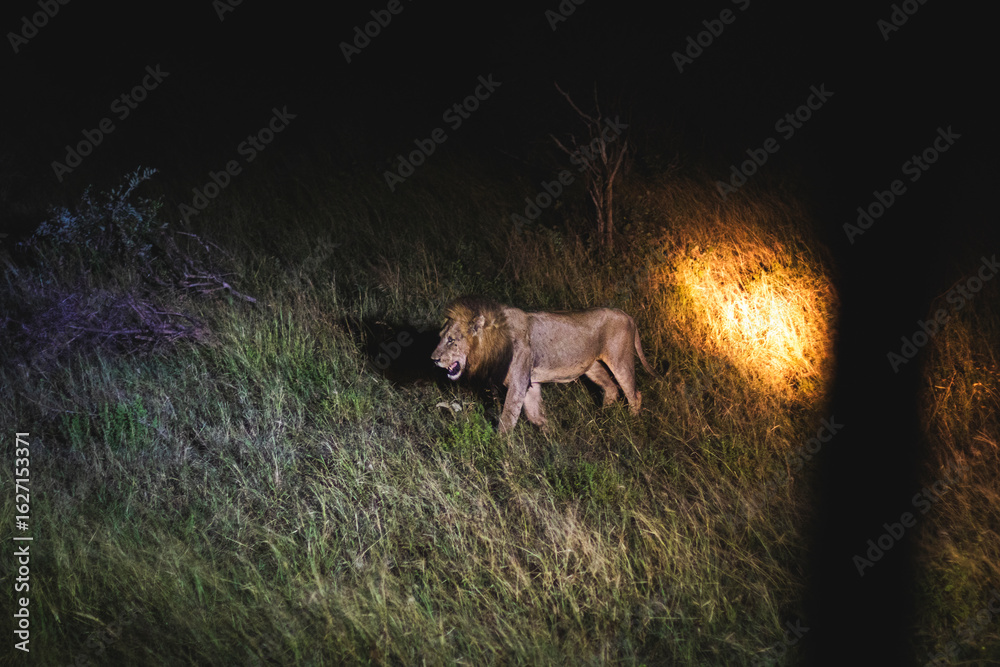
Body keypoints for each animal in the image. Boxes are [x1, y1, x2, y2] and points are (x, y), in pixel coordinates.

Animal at [431, 296, 656, 433]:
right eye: (440, 336)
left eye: (451, 340)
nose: (433, 359)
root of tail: (627, 315)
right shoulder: (530, 383)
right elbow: (535, 415)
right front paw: (552, 433)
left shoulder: (519, 382)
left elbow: (508, 418)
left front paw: (499, 450)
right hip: (592, 367)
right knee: (611, 388)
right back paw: (603, 418)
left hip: (620, 360)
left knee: (634, 394)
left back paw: (632, 423)